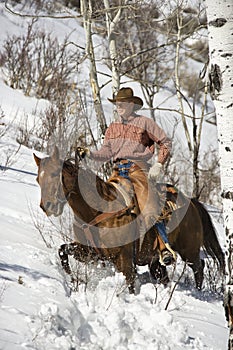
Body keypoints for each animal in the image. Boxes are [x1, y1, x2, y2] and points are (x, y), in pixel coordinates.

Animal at [33, 146, 225, 292]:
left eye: (54, 174)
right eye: (37, 178)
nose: (47, 206)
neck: (98, 211)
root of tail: (191, 203)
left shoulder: (124, 259)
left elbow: (130, 283)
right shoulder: (90, 251)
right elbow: (62, 250)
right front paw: (72, 279)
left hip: (189, 250)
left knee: (199, 266)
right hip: (156, 262)